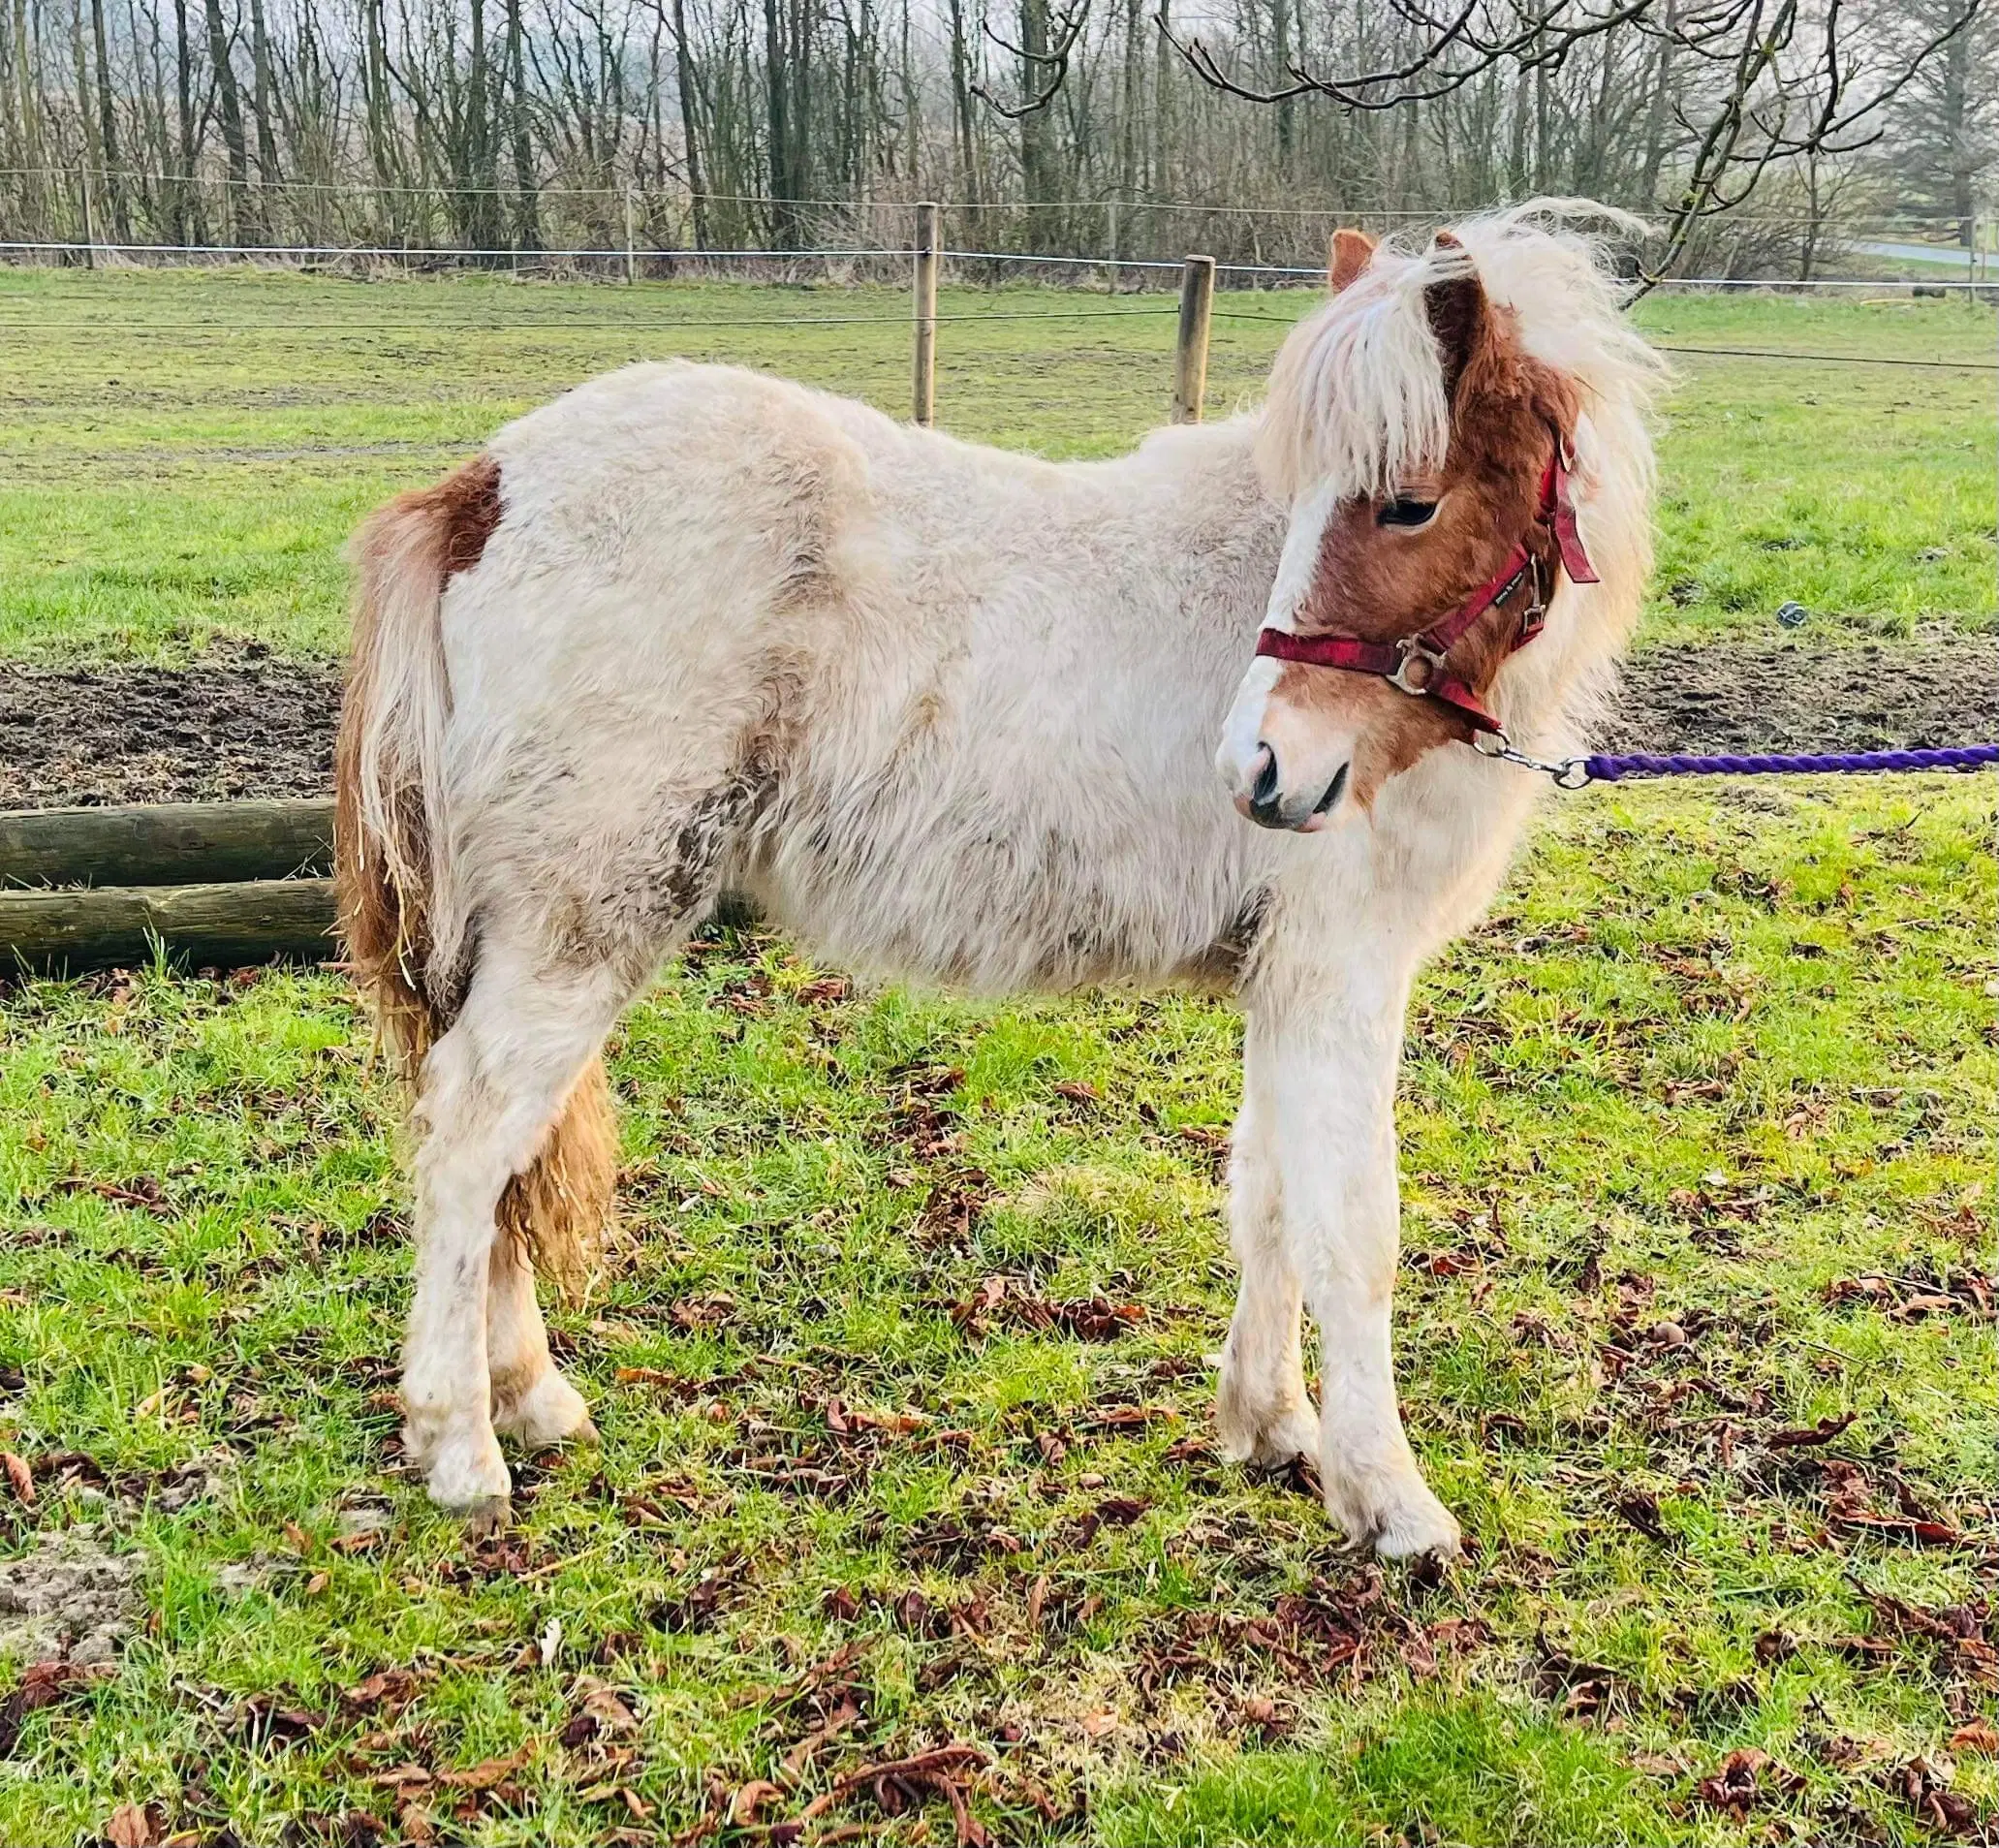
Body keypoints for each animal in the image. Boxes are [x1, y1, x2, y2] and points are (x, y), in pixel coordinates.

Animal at [339, 205, 1655, 1559]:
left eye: (1404, 504)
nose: (1260, 767)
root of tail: (485, 487)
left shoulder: (1284, 983)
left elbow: (1269, 1194)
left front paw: (1270, 1426)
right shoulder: (1338, 973)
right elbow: (1353, 1225)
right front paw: (1388, 1498)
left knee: (504, 1151)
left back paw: (528, 1396)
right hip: (582, 922)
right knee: (470, 1136)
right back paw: (461, 1446)